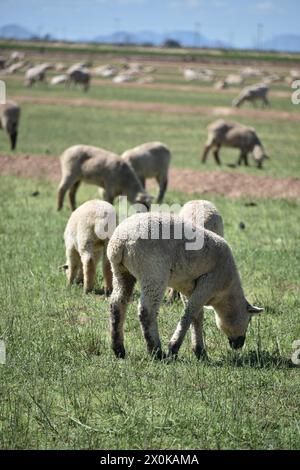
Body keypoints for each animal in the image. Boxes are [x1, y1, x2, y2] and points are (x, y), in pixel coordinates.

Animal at [108, 213, 262, 360]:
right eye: (249, 319)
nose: (239, 344)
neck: (225, 293)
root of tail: (120, 242)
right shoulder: (209, 282)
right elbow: (189, 314)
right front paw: (174, 348)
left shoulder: (188, 287)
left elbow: (197, 316)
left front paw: (200, 352)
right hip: (153, 272)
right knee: (146, 311)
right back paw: (156, 351)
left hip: (120, 272)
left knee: (117, 303)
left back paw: (118, 349)